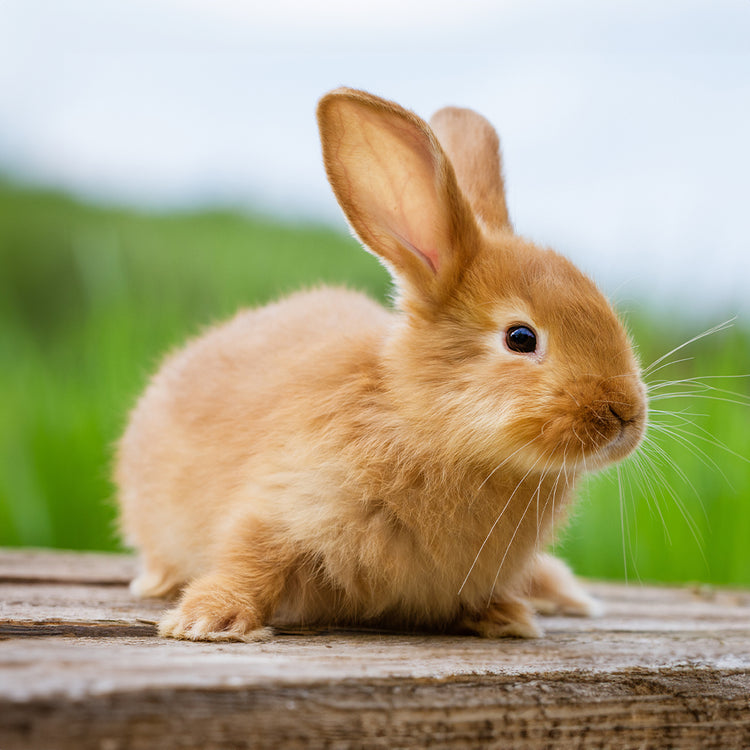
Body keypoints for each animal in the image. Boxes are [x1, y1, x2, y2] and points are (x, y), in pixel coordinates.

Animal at [115, 88, 647, 642]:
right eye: (521, 338)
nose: (626, 415)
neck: (425, 423)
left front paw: (508, 619)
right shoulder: (281, 504)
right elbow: (252, 559)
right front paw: (209, 620)